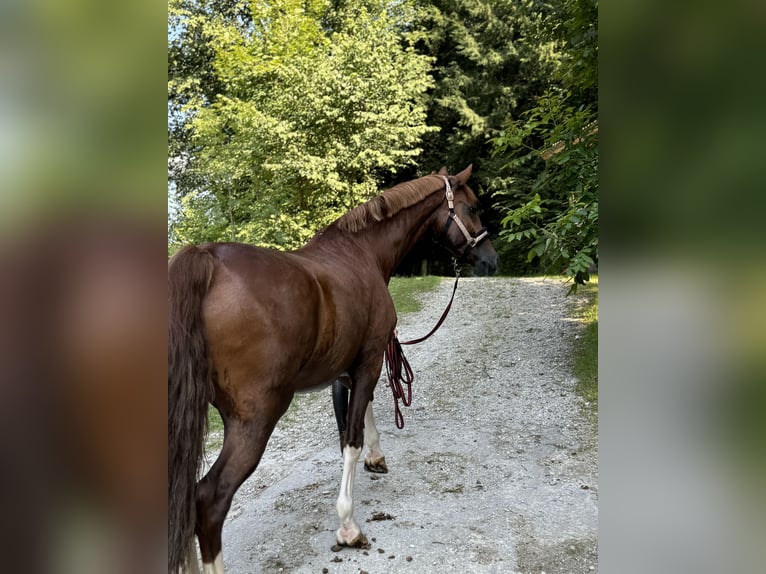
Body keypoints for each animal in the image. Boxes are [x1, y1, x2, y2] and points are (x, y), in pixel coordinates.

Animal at [170, 164, 498, 572]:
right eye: (473, 208)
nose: (490, 261)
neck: (362, 253)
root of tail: (207, 261)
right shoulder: (370, 360)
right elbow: (351, 438)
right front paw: (348, 526)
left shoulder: (347, 370)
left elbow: (355, 424)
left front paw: (376, 457)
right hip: (255, 420)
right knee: (209, 501)